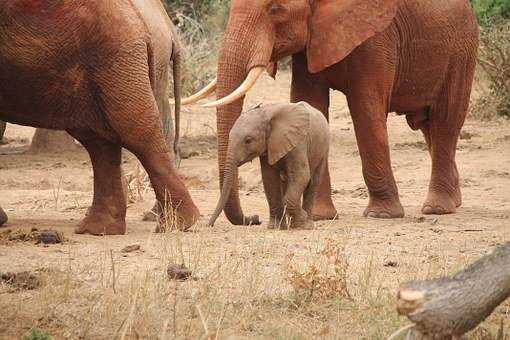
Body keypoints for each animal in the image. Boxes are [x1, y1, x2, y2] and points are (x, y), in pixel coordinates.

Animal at [185, 0, 480, 223]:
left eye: (275, 9)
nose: (253, 219)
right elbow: (309, 102)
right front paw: (319, 216)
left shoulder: (376, 36)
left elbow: (366, 108)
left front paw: (381, 215)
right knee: (429, 127)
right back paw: (455, 201)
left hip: (462, 48)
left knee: (445, 120)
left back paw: (437, 208)